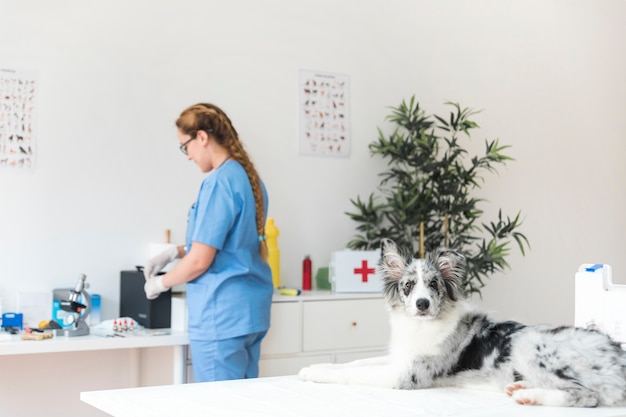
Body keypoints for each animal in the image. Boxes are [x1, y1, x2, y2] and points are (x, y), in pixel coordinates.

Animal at [298, 239, 624, 404]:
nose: (422, 304)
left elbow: (351, 373)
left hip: (529, 346)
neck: (420, 325)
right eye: (408, 286)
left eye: (434, 284)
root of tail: (617, 355)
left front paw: (315, 373)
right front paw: (310, 367)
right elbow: (355, 362)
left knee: (588, 396)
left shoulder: (405, 375)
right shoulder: (399, 358)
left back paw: (528, 396)